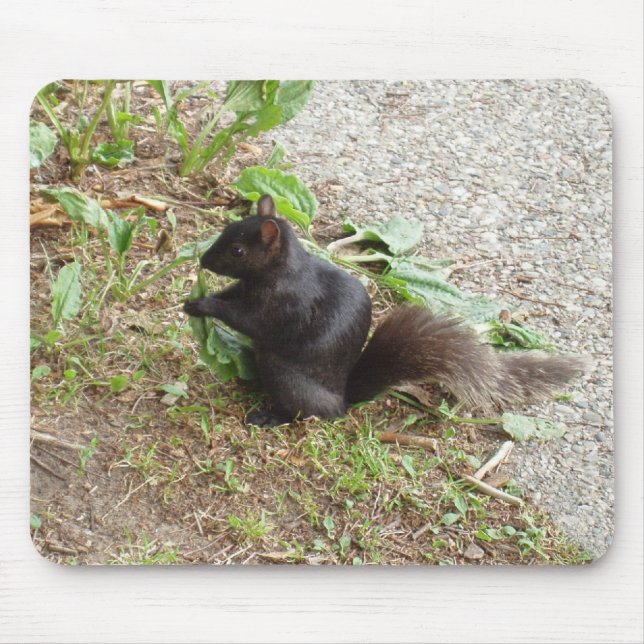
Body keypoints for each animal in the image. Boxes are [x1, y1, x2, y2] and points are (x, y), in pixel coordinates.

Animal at [184, 194, 588, 426]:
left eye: (237, 250)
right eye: (229, 229)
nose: (203, 260)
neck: (280, 272)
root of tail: (342, 400)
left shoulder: (283, 307)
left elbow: (248, 320)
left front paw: (200, 304)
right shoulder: (247, 289)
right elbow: (233, 295)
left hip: (286, 376)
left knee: (309, 414)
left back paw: (272, 416)